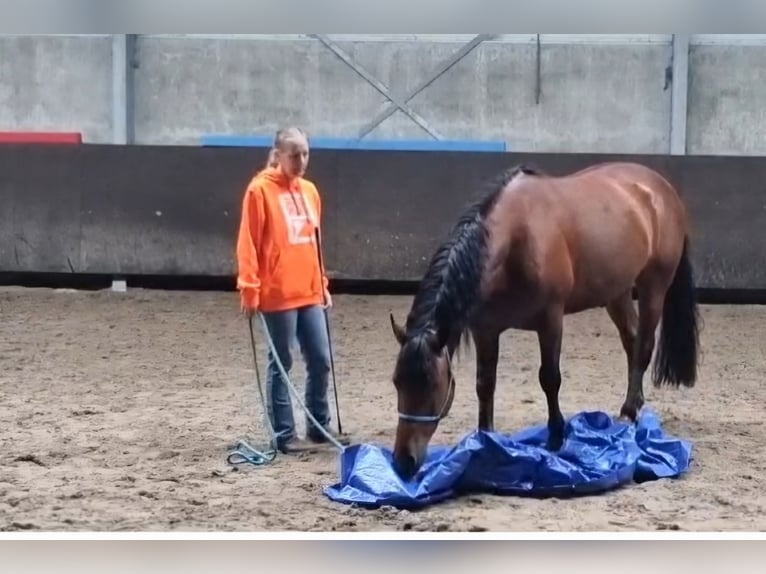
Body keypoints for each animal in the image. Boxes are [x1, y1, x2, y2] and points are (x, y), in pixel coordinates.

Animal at [390, 161, 704, 482]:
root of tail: (661, 187)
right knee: (631, 340)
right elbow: (485, 384)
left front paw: (555, 438)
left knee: (643, 347)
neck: (518, 238)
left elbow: (550, 379)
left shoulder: (550, 321)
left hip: (654, 286)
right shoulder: (485, 331)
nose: (403, 462)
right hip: (616, 292)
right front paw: (485, 440)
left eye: (432, 385)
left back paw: (629, 411)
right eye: (397, 382)